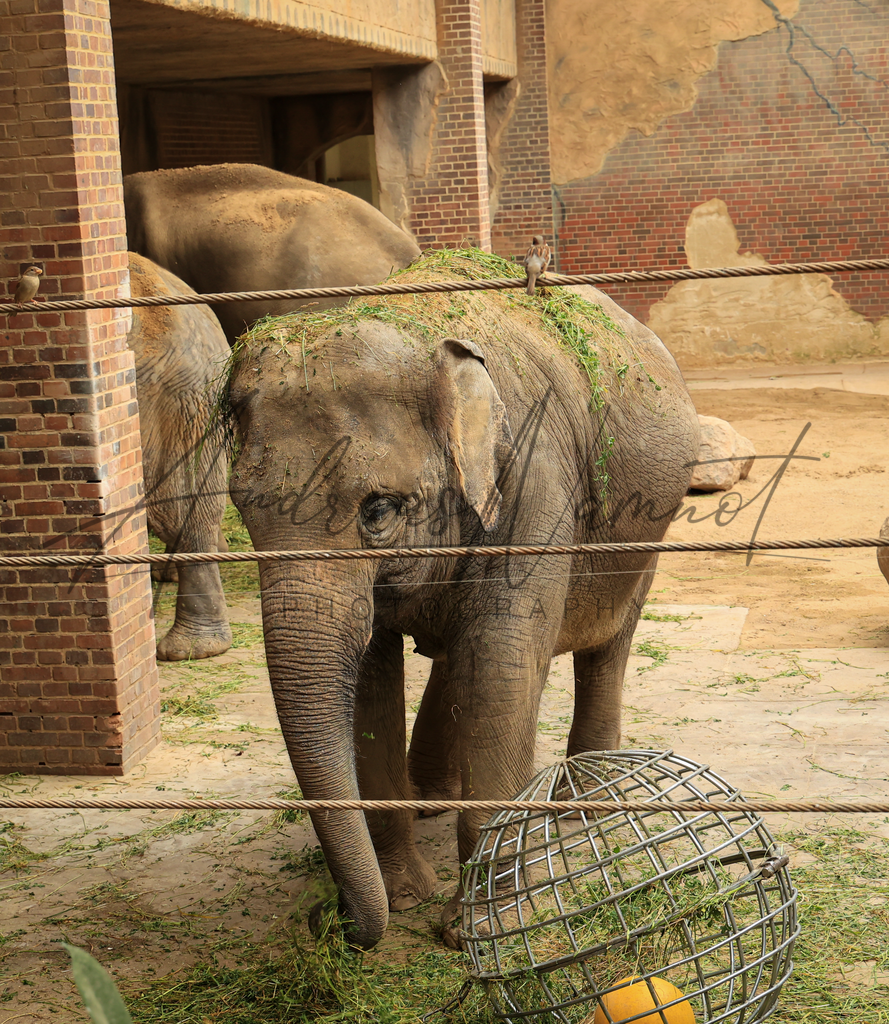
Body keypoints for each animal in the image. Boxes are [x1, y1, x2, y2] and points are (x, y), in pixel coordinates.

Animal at [226, 256, 701, 949]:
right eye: (240, 506)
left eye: (379, 510)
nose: (332, 922)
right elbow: (371, 678)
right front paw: (405, 896)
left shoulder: (534, 480)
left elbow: (503, 672)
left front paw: (475, 928)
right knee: (460, 656)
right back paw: (431, 795)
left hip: (647, 527)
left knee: (604, 644)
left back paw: (585, 801)